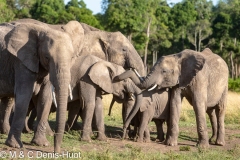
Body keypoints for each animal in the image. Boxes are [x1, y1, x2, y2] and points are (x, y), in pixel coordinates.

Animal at [0, 19, 84, 152]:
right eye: (47, 57)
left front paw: (41, 144)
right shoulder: (21, 61)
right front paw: (14, 145)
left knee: (7, 100)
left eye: (72, 58)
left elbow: (45, 98)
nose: (56, 152)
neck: (45, 30)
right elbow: (24, 95)